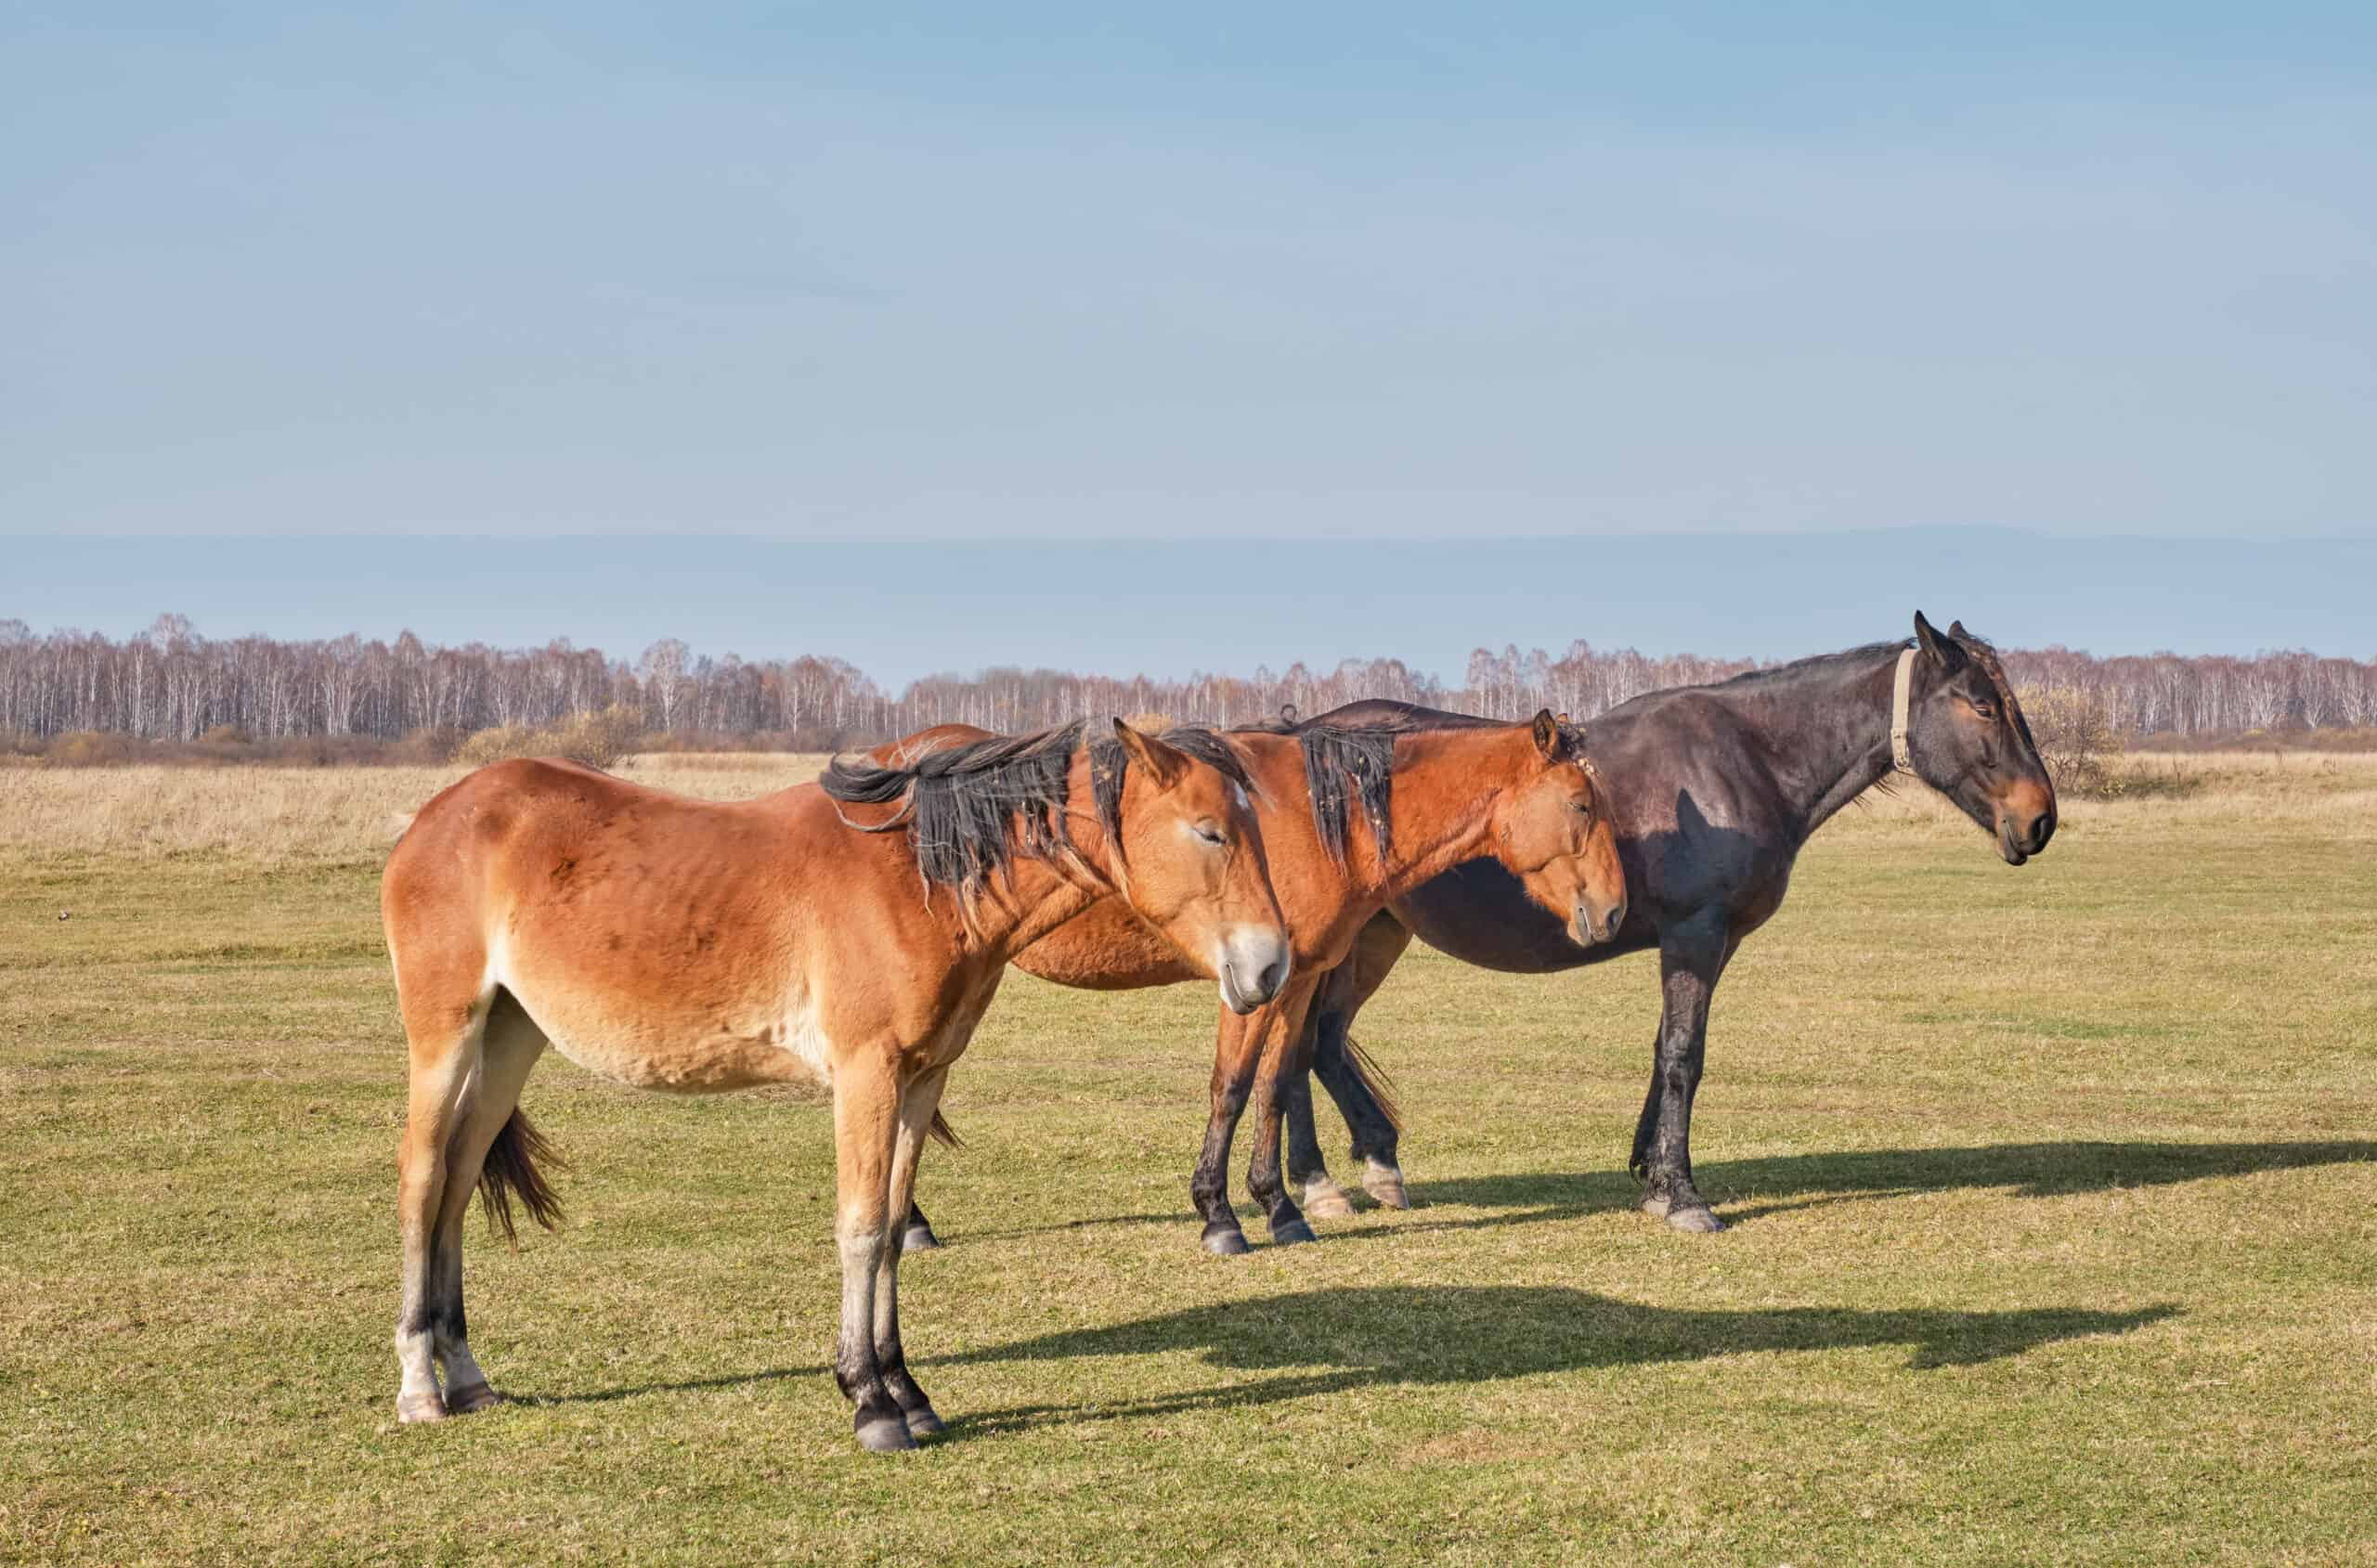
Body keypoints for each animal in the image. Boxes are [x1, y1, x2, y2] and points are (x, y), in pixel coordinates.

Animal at [380, 717, 1292, 1454]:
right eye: (1211, 831)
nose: (1271, 967)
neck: (916, 879)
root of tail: (430, 817)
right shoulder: (867, 1073)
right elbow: (857, 1229)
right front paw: (869, 1402)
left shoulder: (922, 1079)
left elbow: (890, 1230)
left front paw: (908, 1390)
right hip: (445, 1038)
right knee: (422, 1183)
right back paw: (421, 1385)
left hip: (510, 1039)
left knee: (458, 1185)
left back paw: (467, 1375)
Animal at [884, 707, 1626, 1244]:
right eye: (1582, 805)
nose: (1615, 910)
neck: (1315, 818)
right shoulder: (1247, 985)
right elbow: (1232, 1088)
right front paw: (1219, 1214)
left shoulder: (1293, 983)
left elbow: (1274, 1085)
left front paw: (1280, 1206)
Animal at [1283, 613, 2063, 1235]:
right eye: (1983, 705)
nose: (2040, 818)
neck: (1744, 760)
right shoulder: (1694, 933)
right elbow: (1686, 1055)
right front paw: (1683, 1194)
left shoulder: (1711, 942)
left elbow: (1667, 1048)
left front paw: (1651, 1172)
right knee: (1297, 1050)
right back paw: (1318, 1184)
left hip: (1376, 935)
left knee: (1323, 1042)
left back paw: (1372, 1165)